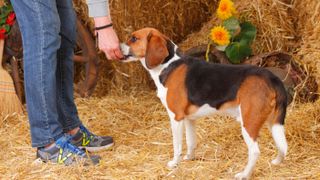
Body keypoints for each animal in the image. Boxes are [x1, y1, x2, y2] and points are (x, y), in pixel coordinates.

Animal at [119, 27, 288, 179]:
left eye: (133, 38)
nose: (118, 47)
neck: (168, 64)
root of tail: (271, 77)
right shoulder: (189, 119)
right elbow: (191, 141)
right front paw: (189, 158)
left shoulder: (176, 117)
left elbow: (177, 145)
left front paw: (174, 163)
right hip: (273, 122)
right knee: (281, 145)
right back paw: (277, 162)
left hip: (249, 123)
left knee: (254, 151)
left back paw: (244, 174)